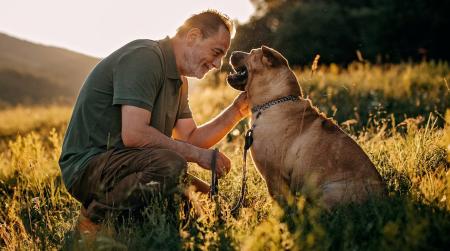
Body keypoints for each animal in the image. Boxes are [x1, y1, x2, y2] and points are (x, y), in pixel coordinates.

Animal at [227, 46, 384, 209]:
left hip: (329, 191)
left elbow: (280, 202)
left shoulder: (273, 176)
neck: (273, 101)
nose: (232, 52)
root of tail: (382, 196)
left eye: (251, 53)